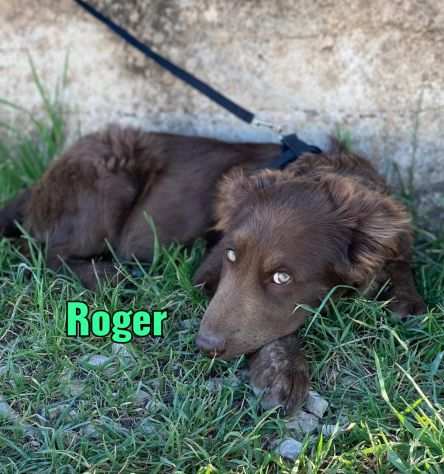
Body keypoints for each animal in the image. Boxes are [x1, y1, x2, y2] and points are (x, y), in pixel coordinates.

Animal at [0, 125, 426, 412]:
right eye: (232, 257)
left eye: (282, 277)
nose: (204, 347)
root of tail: (40, 182)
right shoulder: (209, 268)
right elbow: (276, 329)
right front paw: (282, 373)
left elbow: (401, 266)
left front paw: (403, 298)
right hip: (109, 173)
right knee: (44, 252)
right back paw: (114, 276)